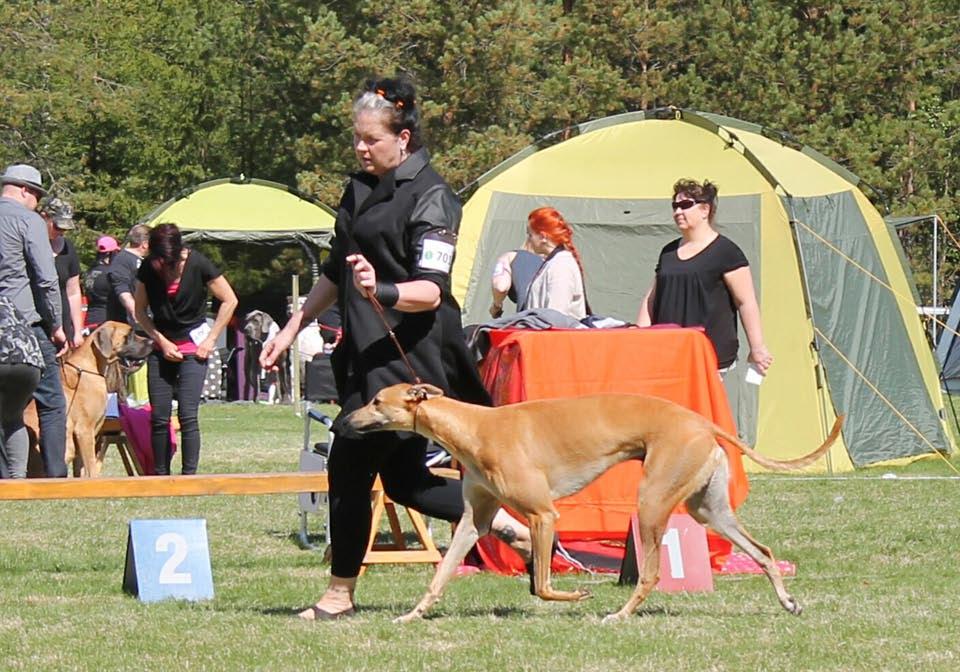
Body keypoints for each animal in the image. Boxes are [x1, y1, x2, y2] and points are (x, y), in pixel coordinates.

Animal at [25, 320, 152, 478]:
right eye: (129, 336)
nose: (152, 342)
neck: (91, 367)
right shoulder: (84, 431)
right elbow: (91, 470)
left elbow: (82, 472)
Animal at [342, 384, 844, 624]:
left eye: (376, 400)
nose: (344, 422)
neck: (475, 427)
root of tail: (702, 422)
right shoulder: (473, 521)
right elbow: (440, 576)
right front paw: (412, 614)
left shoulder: (544, 514)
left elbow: (542, 584)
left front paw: (577, 595)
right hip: (709, 509)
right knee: (763, 551)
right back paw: (788, 603)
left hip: (652, 503)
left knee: (651, 573)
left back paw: (618, 615)